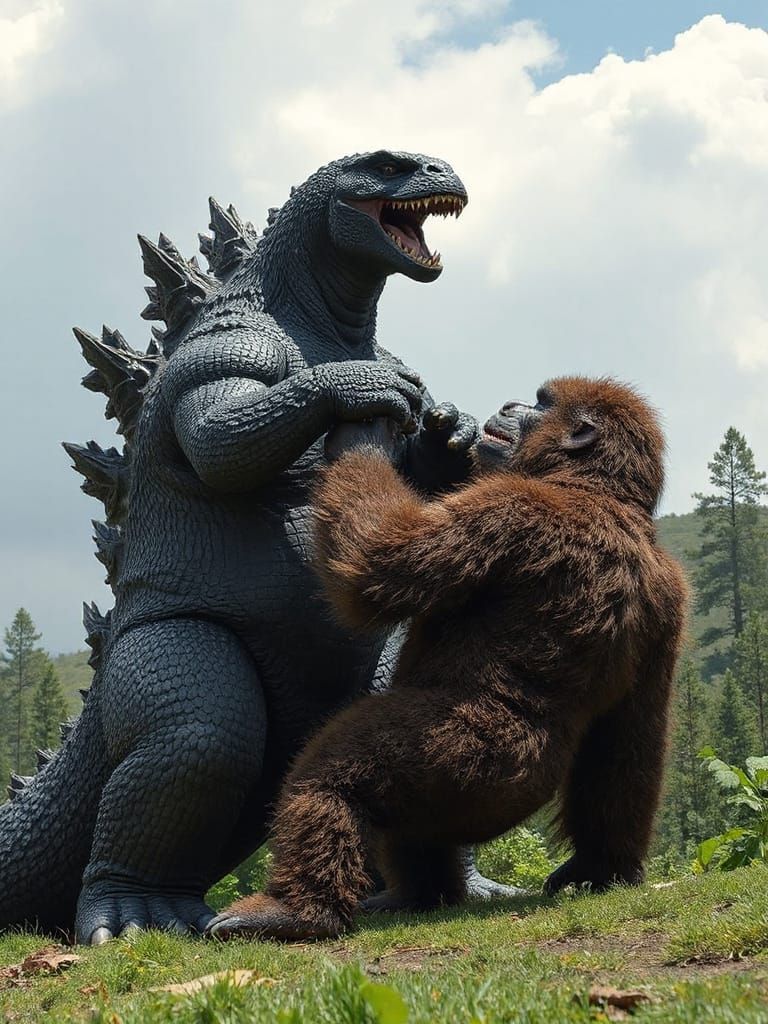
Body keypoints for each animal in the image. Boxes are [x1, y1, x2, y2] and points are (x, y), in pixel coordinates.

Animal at [206, 376, 689, 941]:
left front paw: (362, 432)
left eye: (541, 403)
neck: (594, 487)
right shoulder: (670, 595)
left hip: (465, 763)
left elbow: (381, 556)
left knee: (331, 773)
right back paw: (428, 892)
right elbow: (631, 738)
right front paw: (597, 868)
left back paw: (297, 910)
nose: (510, 405)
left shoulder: (507, 506)